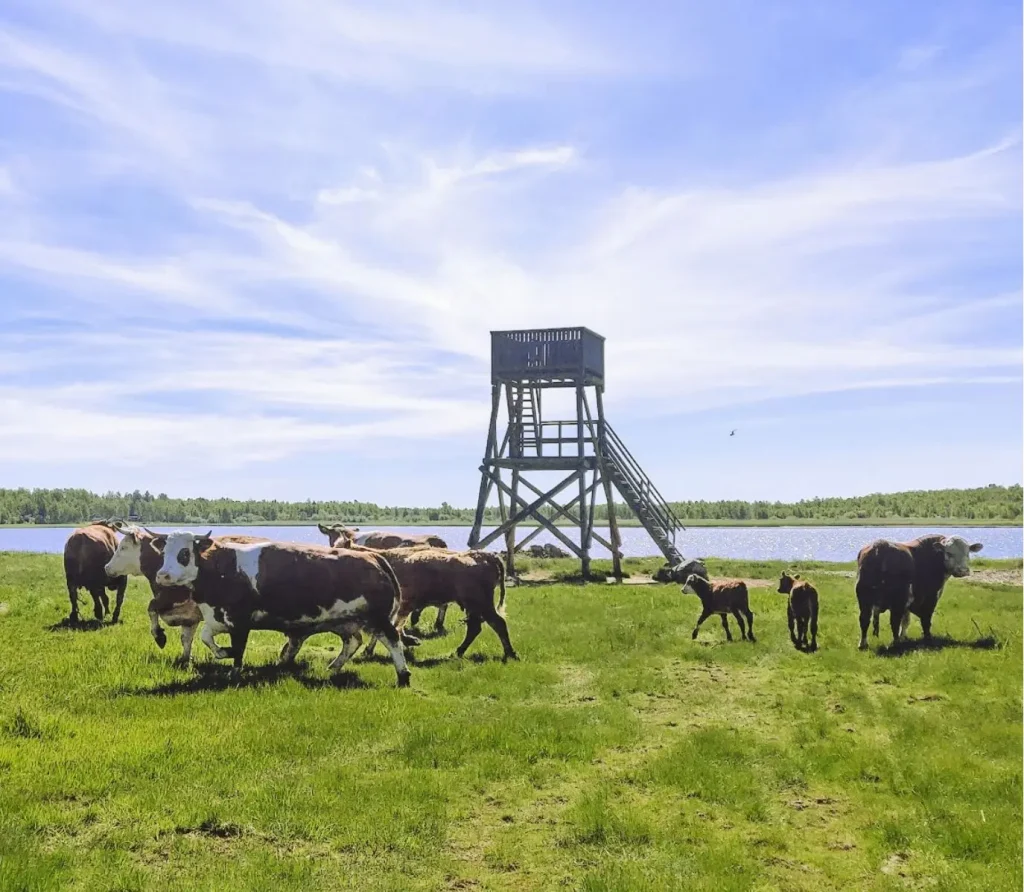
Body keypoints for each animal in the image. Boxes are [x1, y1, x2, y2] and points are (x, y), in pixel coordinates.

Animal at [149, 532, 411, 688]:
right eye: (163, 552)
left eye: (184, 553)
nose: (163, 575)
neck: (224, 568)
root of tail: (374, 559)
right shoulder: (218, 616)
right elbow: (206, 637)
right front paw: (223, 652)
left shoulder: (240, 621)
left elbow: (239, 648)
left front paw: (234, 671)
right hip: (345, 621)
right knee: (353, 641)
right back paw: (333, 667)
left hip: (377, 618)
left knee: (392, 640)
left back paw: (403, 675)